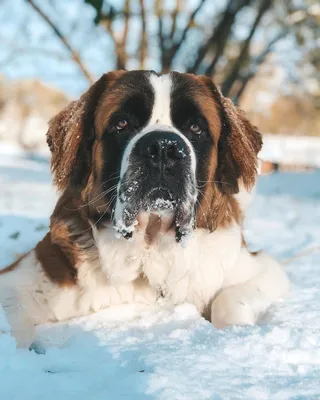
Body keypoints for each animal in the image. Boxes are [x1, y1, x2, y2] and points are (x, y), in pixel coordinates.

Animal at [0, 71, 290, 346]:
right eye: (122, 124)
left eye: (195, 127)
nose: (162, 147)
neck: (149, 246)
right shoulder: (24, 278)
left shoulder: (261, 267)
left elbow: (229, 298)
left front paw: (235, 332)